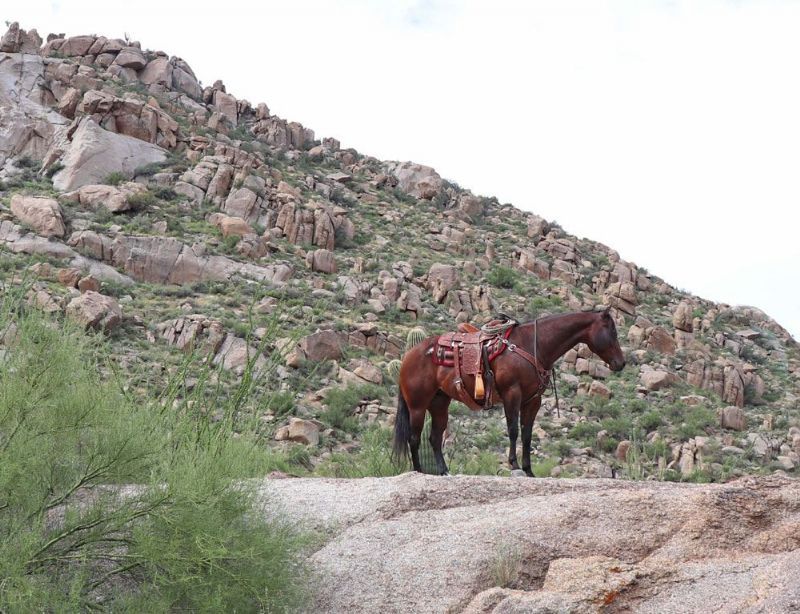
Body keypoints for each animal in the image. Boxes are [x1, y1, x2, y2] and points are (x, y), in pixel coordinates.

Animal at [392, 308, 626, 476]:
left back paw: (443, 471)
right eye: (612, 332)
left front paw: (529, 470)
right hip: (417, 405)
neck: (533, 345)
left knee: (434, 437)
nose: (621, 363)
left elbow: (528, 434)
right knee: (414, 438)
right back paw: (419, 471)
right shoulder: (512, 394)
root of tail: (409, 355)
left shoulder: (533, 401)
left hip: (440, 403)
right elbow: (513, 430)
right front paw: (514, 465)